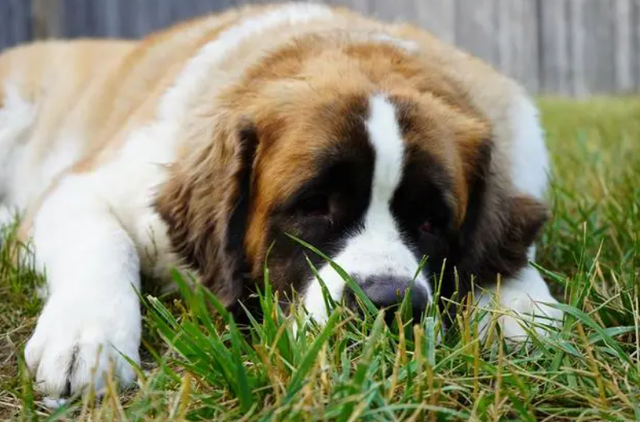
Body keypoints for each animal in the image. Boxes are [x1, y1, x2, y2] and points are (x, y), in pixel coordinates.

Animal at [0, 3, 560, 398]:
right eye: (314, 205)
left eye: (430, 222)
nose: (387, 304)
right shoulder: (84, 186)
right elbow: (102, 241)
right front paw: (87, 338)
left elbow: (511, 254)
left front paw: (521, 310)